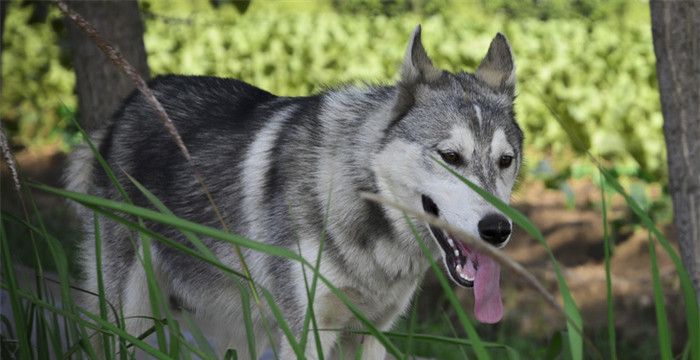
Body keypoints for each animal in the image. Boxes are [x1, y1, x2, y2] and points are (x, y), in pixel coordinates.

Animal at [65, 26, 524, 360]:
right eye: (451, 157)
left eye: (506, 161)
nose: (498, 229)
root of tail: (131, 103)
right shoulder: (308, 333)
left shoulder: (373, 335)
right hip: (129, 316)